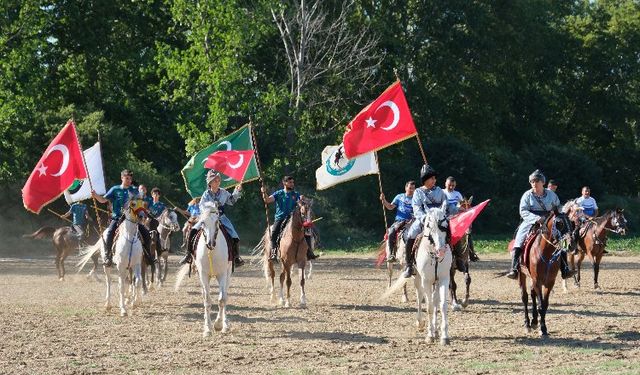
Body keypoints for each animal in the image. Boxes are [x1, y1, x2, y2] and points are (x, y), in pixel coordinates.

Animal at [175, 203, 232, 338]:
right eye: (202, 222)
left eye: (217, 221)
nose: (210, 243)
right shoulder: (203, 275)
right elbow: (207, 301)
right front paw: (208, 329)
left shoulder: (222, 274)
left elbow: (222, 299)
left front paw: (218, 324)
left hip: (227, 274)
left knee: (225, 295)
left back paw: (225, 324)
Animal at [412, 207, 452, 346]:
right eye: (429, 225)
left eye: (445, 225)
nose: (441, 250)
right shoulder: (427, 281)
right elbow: (429, 306)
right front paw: (429, 335)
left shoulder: (444, 279)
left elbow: (442, 305)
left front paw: (444, 336)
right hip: (418, 279)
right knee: (420, 297)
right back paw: (420, 322)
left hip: (436, 283)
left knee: (435, 301)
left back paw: (436, 330)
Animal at [512, 209, 572, 338]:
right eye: (559, 223)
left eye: (571, 223)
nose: (570, 244)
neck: (546, 252)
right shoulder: (537, 281)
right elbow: (540, 305)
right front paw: (541, 328)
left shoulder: (549, 282)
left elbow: (544, 305)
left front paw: (543, 327)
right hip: (522, 275)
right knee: (525, 297)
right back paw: (527, 324)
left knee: (532, 294)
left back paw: (534, 321)